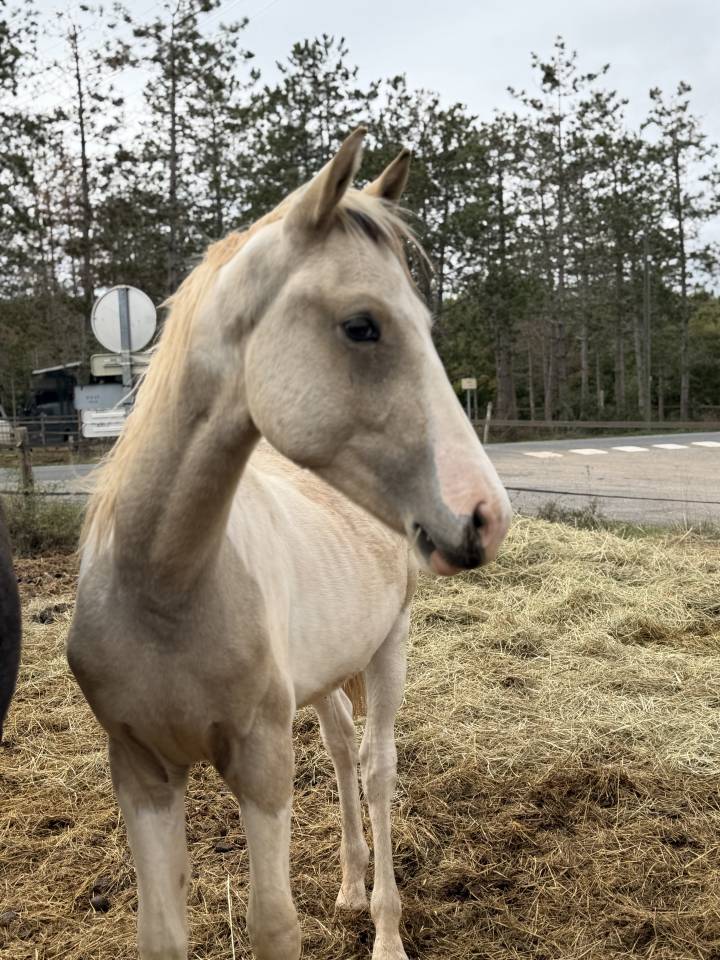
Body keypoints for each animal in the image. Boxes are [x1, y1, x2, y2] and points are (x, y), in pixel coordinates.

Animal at [67, 128, 512, 960]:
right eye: (362, 324)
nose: (485, 515)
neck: (164, 583)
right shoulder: (140, 769)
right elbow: (160, 933)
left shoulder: (262, 763)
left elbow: (273, 924)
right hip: (326, 671)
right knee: (340, 749)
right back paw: (349, 886)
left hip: (388, 648)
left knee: (375, 768)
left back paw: (384, 928)